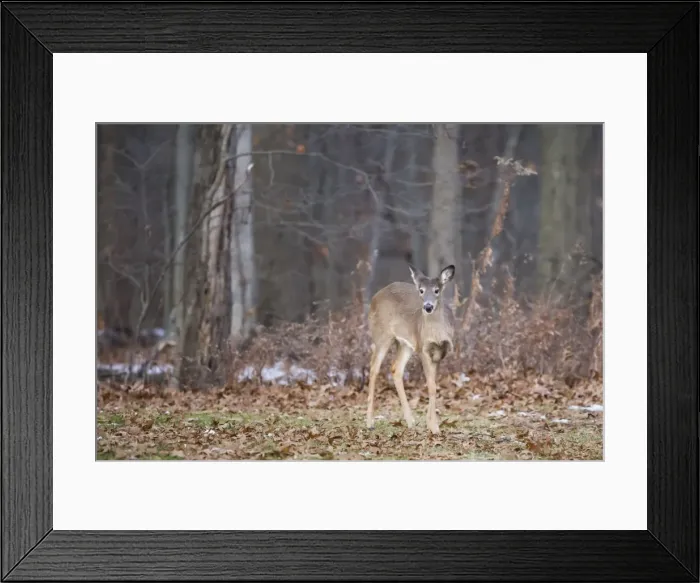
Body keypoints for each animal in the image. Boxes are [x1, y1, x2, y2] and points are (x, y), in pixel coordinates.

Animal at [366, 263, 456, 435]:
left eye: (437, 290)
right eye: (421, 290)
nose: (428, 307)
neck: (436, 333)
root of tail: (375, 296)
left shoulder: (440, 352)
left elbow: (433, 385)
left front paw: (430, 424)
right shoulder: (422, 348)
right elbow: (431, 386)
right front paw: (434, 427)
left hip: (405, 344)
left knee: (396, 369)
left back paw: (410, 421)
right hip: (382, 335)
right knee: (374, 369)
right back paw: (369, 422)